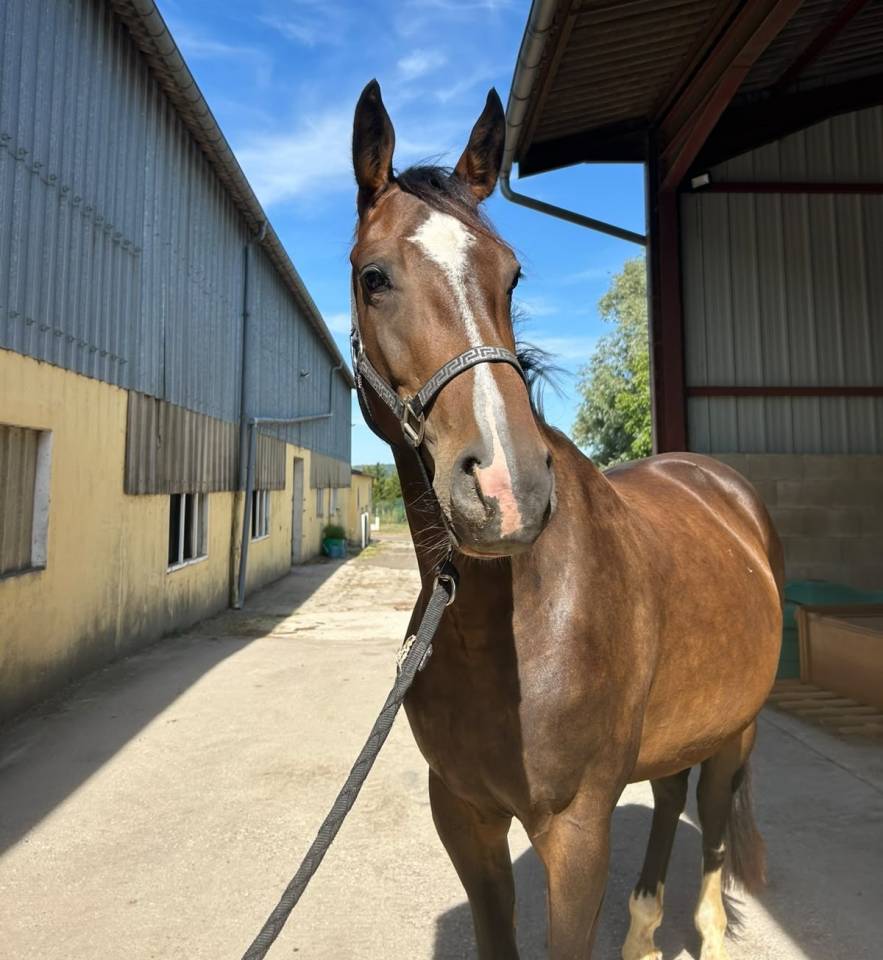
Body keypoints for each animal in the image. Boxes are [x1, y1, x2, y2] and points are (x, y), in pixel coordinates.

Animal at [349, 79, 783, 960]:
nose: (507, 487)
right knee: (669, 792)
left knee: (713, 818)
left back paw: (704, 929)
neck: (501, 628)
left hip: (738, 728)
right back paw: (643, 930)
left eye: (512, 276)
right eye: (374, 277)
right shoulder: (465, 817)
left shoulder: (576, 833)